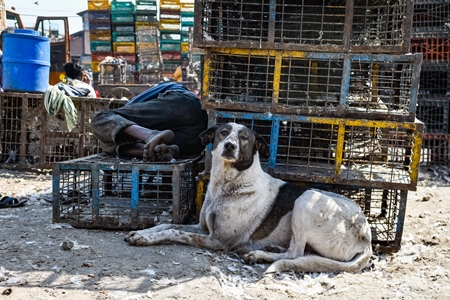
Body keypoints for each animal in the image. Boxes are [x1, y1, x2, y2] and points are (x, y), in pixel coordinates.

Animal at [125, 122, 370, 274]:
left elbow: (175, 232)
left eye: (244, 138)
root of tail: (367, 238)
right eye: (223, 132)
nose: (229, 145)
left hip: (306, 198)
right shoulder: (203, 228)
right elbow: (167, 224)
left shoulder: (217, 241)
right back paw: (270, 250)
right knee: (297, 251)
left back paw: (258, 255)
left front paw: (147, 239)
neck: (225, 185)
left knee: (296, 252)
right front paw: (141, 233)